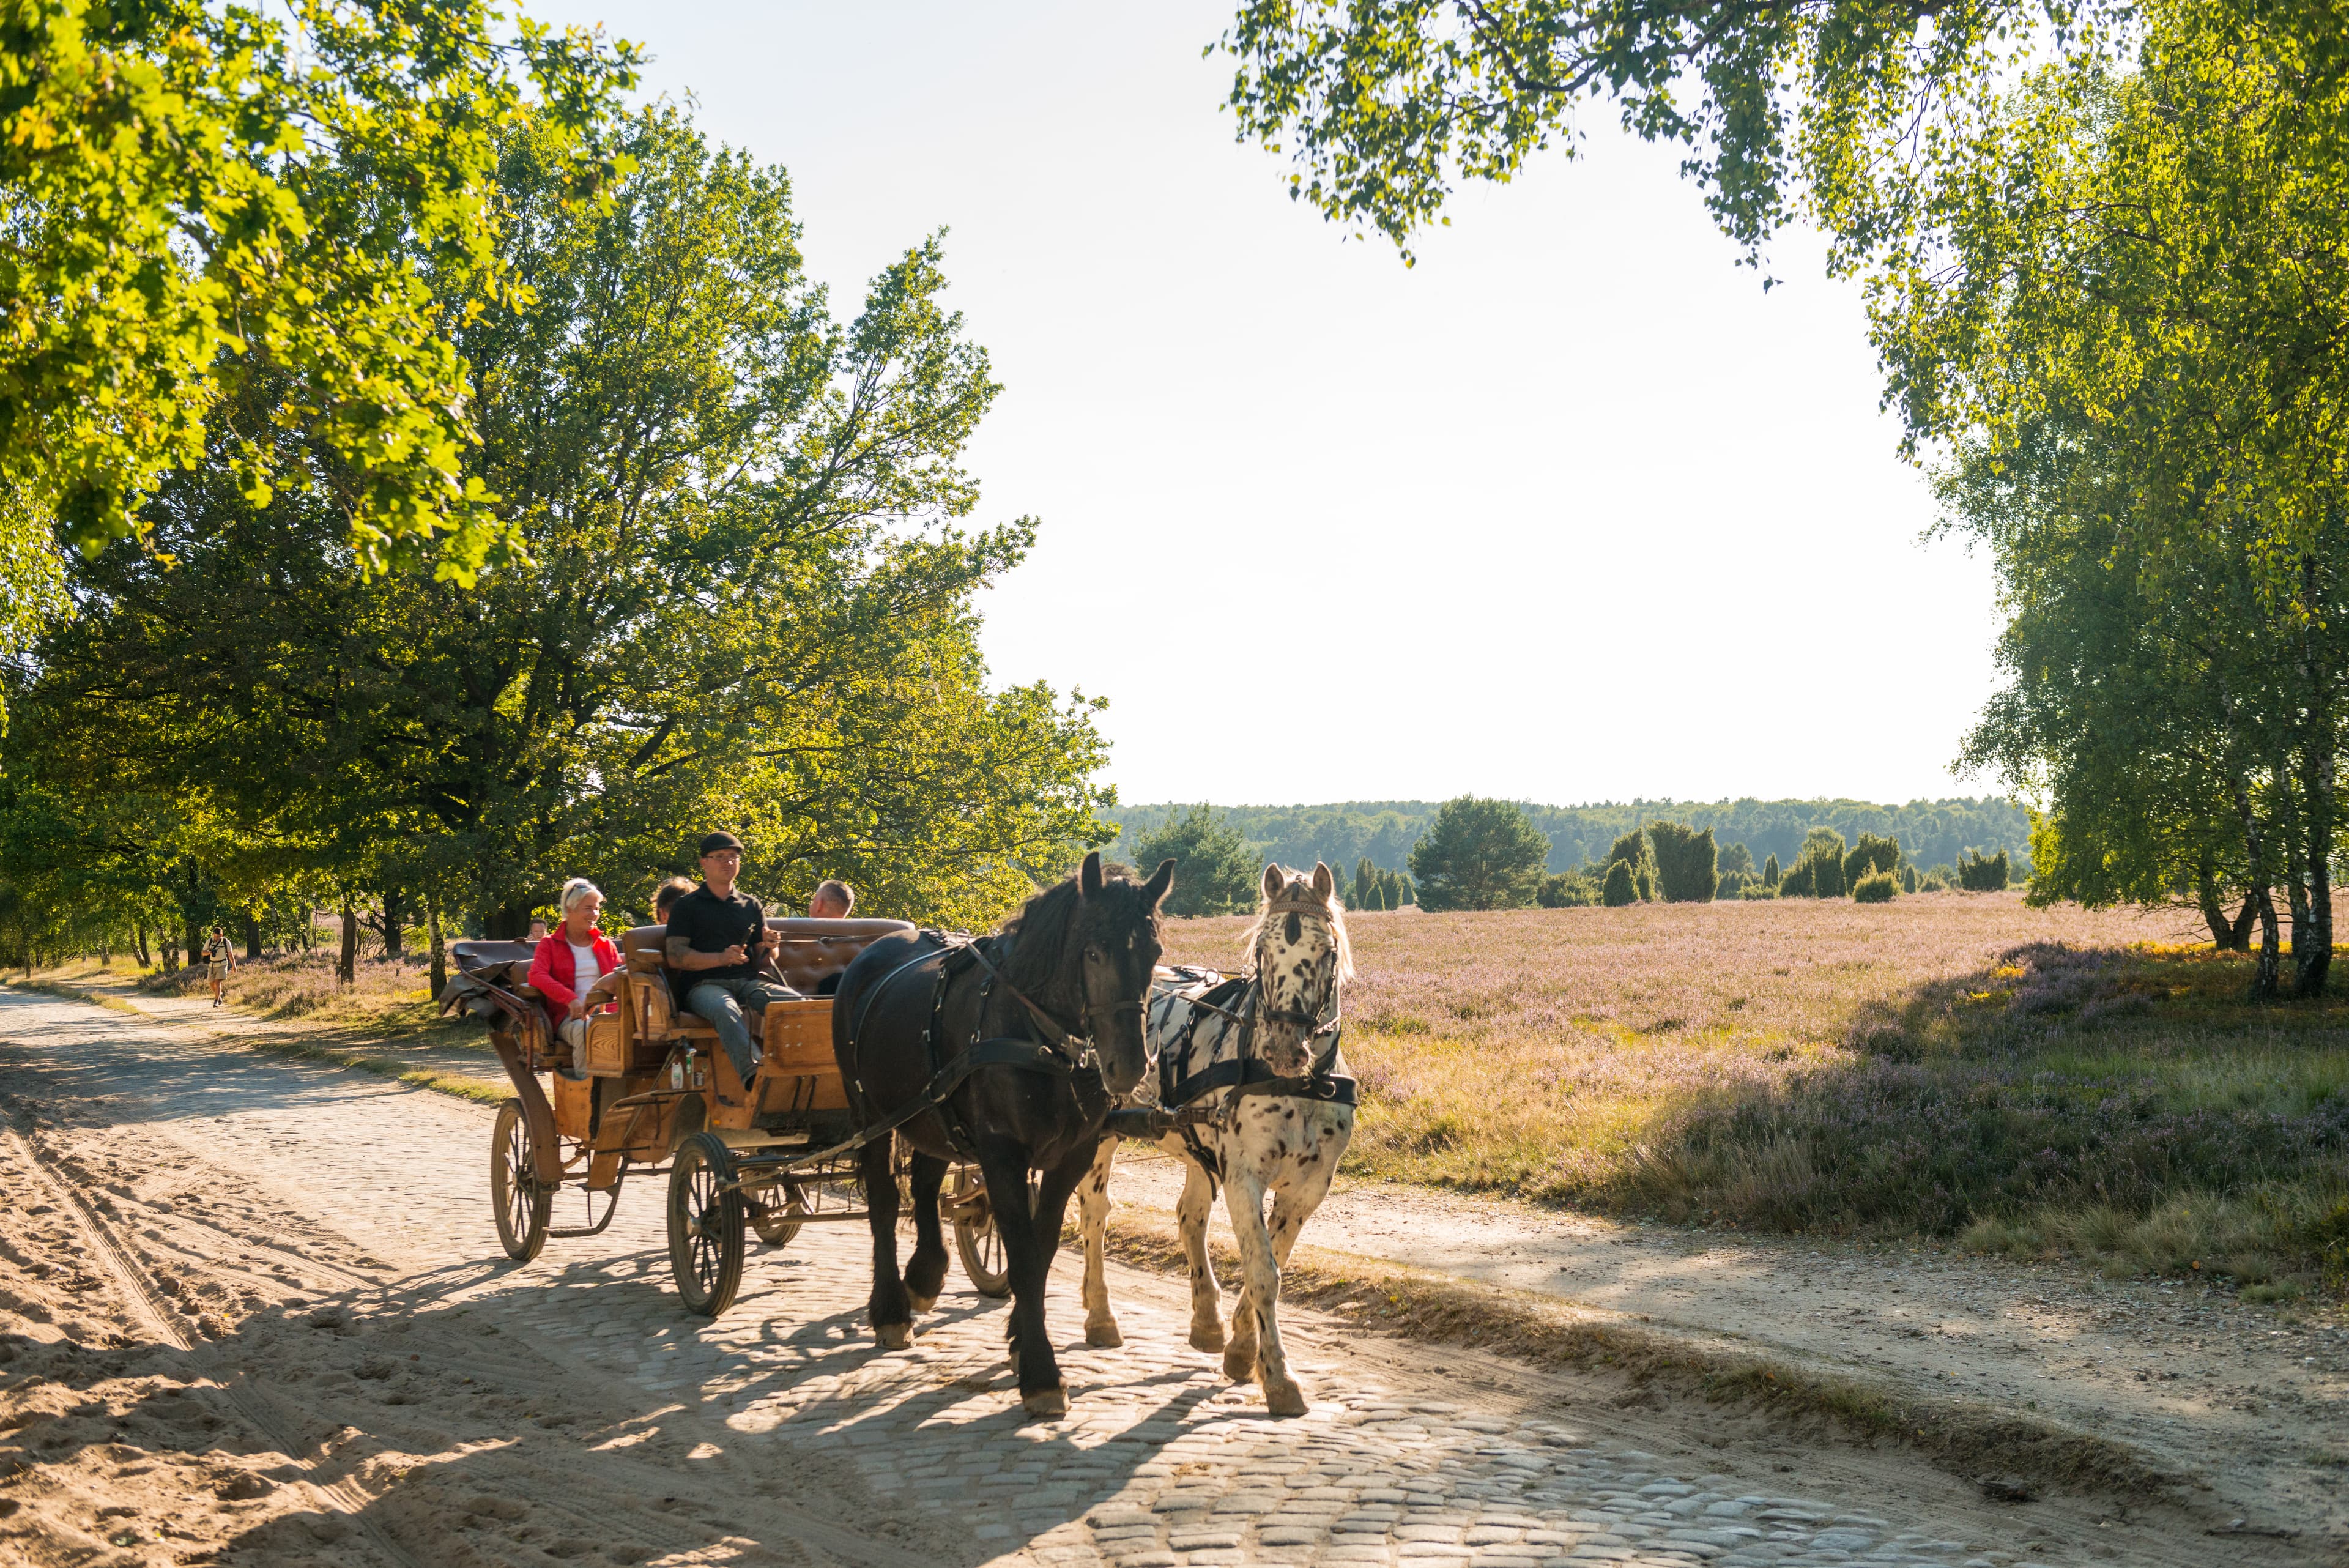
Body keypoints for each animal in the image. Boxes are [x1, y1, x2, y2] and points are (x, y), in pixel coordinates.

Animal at [836, 860, 1174, 1419]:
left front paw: (1020, 1339)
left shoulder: (1071, 1157)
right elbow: (1021, 1254)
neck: (1040, 1040)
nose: (1129, 1065)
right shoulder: (1002, 1156)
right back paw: (891, 1309)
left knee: (925, 1187)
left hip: (933, 1112)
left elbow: (1041, 1250)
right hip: (872, 1115)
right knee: (884, 1204)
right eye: (1094, 951)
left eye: (1155, 952)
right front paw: (1041, 1371)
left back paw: (925, 1275)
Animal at [1075, 865, 1353, 1419]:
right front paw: (1279, 1376)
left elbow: (1271, 1262)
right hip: (1103, 1136)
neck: (1297, 1085)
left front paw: (1242, 1347)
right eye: (1263, 949)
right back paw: (1100, 1312)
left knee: (1189, 1216)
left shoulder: (1307, 1190)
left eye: (1326, 950)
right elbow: (1263, 1271)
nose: (1284, 1047)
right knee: (1095, 1212)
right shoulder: (1244, 1176)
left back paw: (1205, 1318)